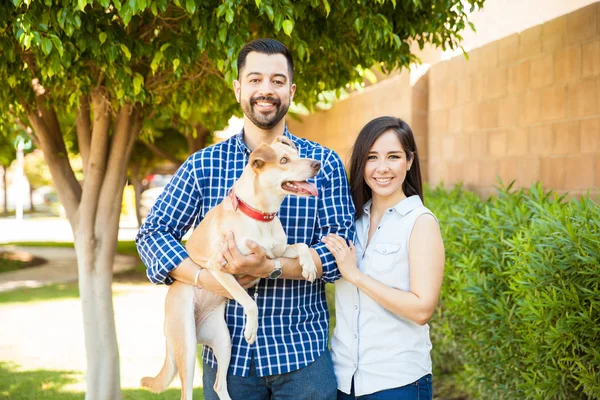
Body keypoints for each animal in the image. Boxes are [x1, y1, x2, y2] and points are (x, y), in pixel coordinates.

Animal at [141, 136, 322, 398]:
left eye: (296, 154)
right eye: (284, 160)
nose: (317, 164)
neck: (260, 215)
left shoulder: (275, 253)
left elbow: (301, 246)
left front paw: (308, 266)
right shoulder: (220, 267)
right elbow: (249, 302)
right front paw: (252, 329)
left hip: (224, 341)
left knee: (219, 384)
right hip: (186, 344)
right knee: (187, 391)